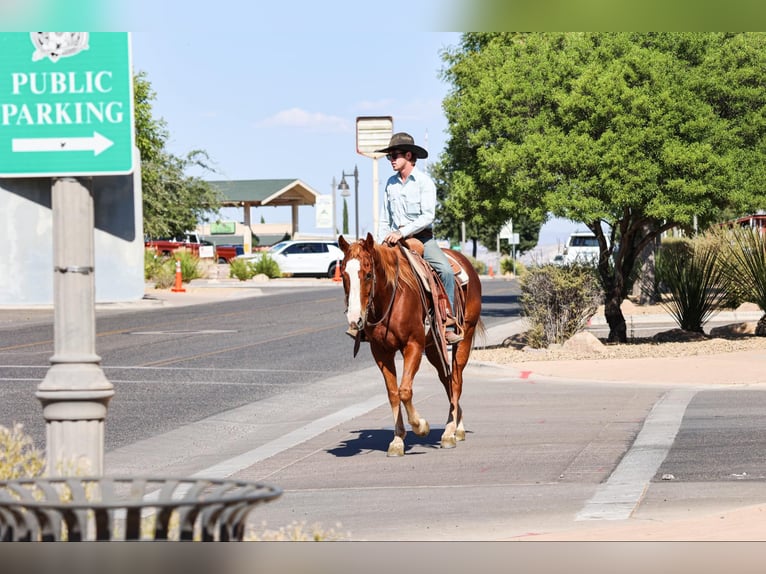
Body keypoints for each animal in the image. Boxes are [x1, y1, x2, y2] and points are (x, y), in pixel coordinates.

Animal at [338, 233, 484, 457]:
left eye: (369, 274)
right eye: (344, 275)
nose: (355, 319)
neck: (392, 297)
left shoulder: (413, 345)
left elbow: (405, 390)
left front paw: (420, 426)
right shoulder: (381, 351)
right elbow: (393, 393)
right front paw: (397, 441)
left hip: (464, 337)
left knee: (456, 381)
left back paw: (449, 432)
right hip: (434, 348)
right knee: (447, 380)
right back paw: (457, 426)